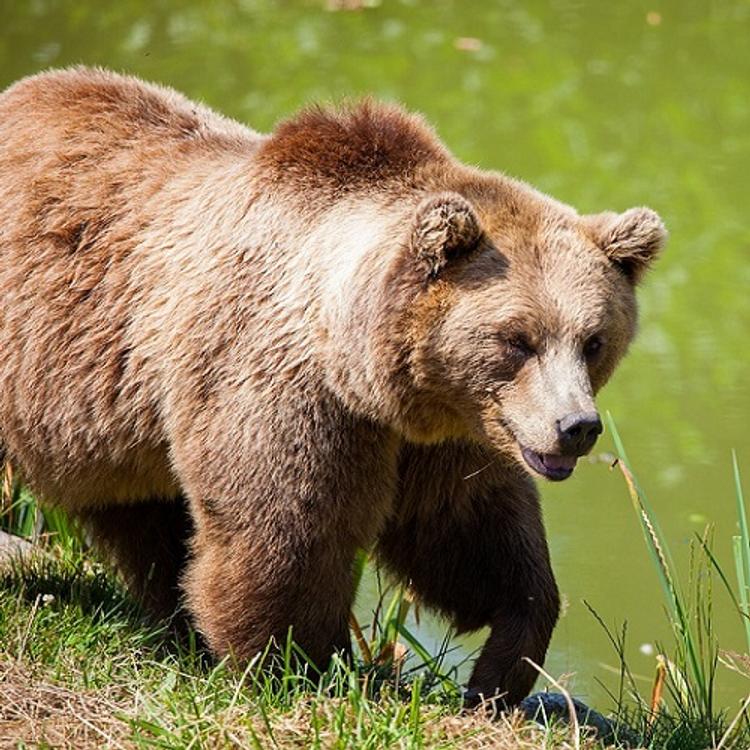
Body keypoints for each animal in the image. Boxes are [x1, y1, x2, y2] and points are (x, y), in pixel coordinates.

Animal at [0, 67, 668, 708]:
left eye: (593, 340)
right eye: (517, 340)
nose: (576, 426)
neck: (362, 366)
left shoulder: (445, 432)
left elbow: (469, 532)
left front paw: (501, 666)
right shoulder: (282, 386)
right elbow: (287, 531)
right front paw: (301, 667)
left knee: (141, 513)